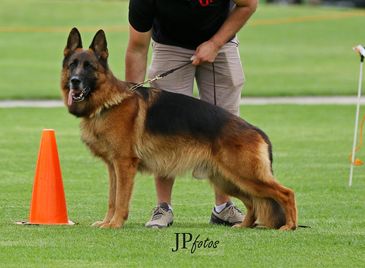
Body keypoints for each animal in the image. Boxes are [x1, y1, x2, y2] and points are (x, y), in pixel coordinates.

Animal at [60, 28, 296, 231]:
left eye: (89, 66)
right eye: (72, 65)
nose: (75, 82)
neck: (107, 102)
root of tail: (257, 131)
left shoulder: (124, 165)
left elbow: (120, 199)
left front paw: (116, 223)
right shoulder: (113, 167)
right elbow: (112, 198)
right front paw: (107, 222)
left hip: (245, 176)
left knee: (286, 193)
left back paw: (290, 226)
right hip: (229, 180)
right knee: (253, 203)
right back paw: (244, 225)